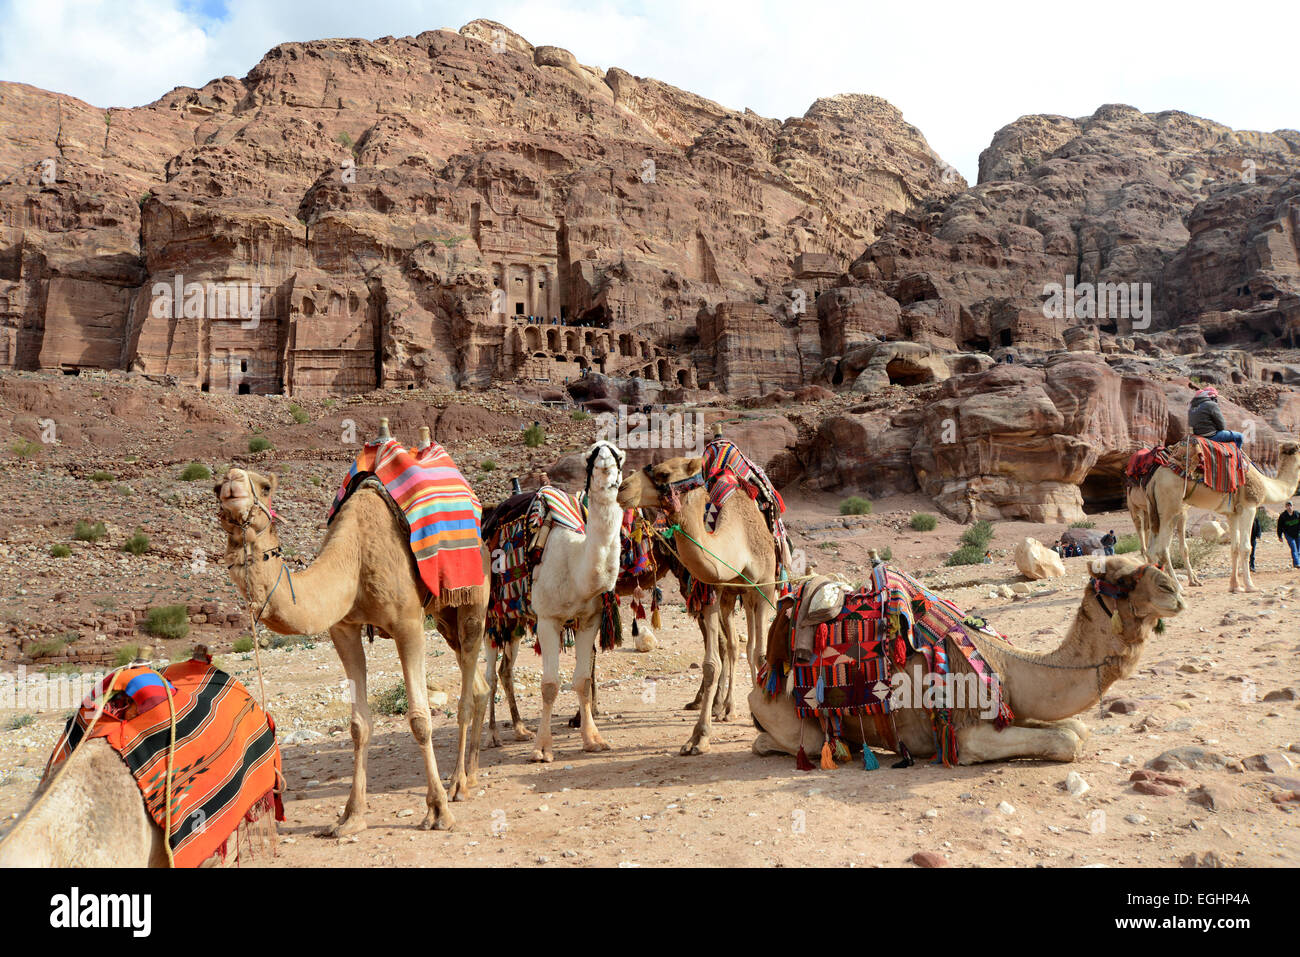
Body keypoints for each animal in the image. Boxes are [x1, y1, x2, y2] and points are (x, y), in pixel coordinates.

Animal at [215, 462, 488, 832]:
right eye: (215, 488)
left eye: (266, 486)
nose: (231, 481)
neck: (354, 558)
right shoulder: (343, 629)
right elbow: (359, 725)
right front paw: (350, 817)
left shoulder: (408, 624)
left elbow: (419, 719)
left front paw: (438, 812)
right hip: (444, 616)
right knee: (477, 684)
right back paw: (470, 775)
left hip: (473, 597)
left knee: (466, 692)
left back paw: (457, 784)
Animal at [618, 455, 780, 754]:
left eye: (663, 473)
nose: (622, 489)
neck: (738, 540)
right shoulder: (712, 592)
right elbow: (711, 664)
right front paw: (699, 737)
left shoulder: (764, 587)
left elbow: (761, 655)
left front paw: (765, 720)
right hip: (731, 598)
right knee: (735, 646)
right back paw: (728, 708)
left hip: (755, 594)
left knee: (751, 647)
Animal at [1144, 442, 1294, 590]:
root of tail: (1154, 480)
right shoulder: (1249, 506)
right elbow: (1246, 547)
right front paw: (1250, 586)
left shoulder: (1233, 513)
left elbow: (1234, 548)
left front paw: (1235, 586)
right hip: (1169, 508)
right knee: (1162, 549)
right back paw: (1177, 586)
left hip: (1157, 511)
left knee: (1152, 549)